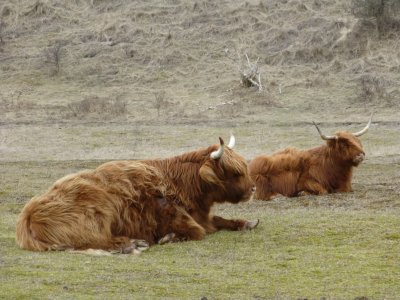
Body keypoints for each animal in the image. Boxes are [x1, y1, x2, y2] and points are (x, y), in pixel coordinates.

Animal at [15, 135, 258, 254]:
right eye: (235, 172)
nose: (254, 188)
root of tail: (28, 214)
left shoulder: (203, 216)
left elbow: (220, 220)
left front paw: (247, 222)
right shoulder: (178, 218)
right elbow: (197, 232)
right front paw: (168, 238)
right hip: (97, 215)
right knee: (93, 240)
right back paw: (131, 244)